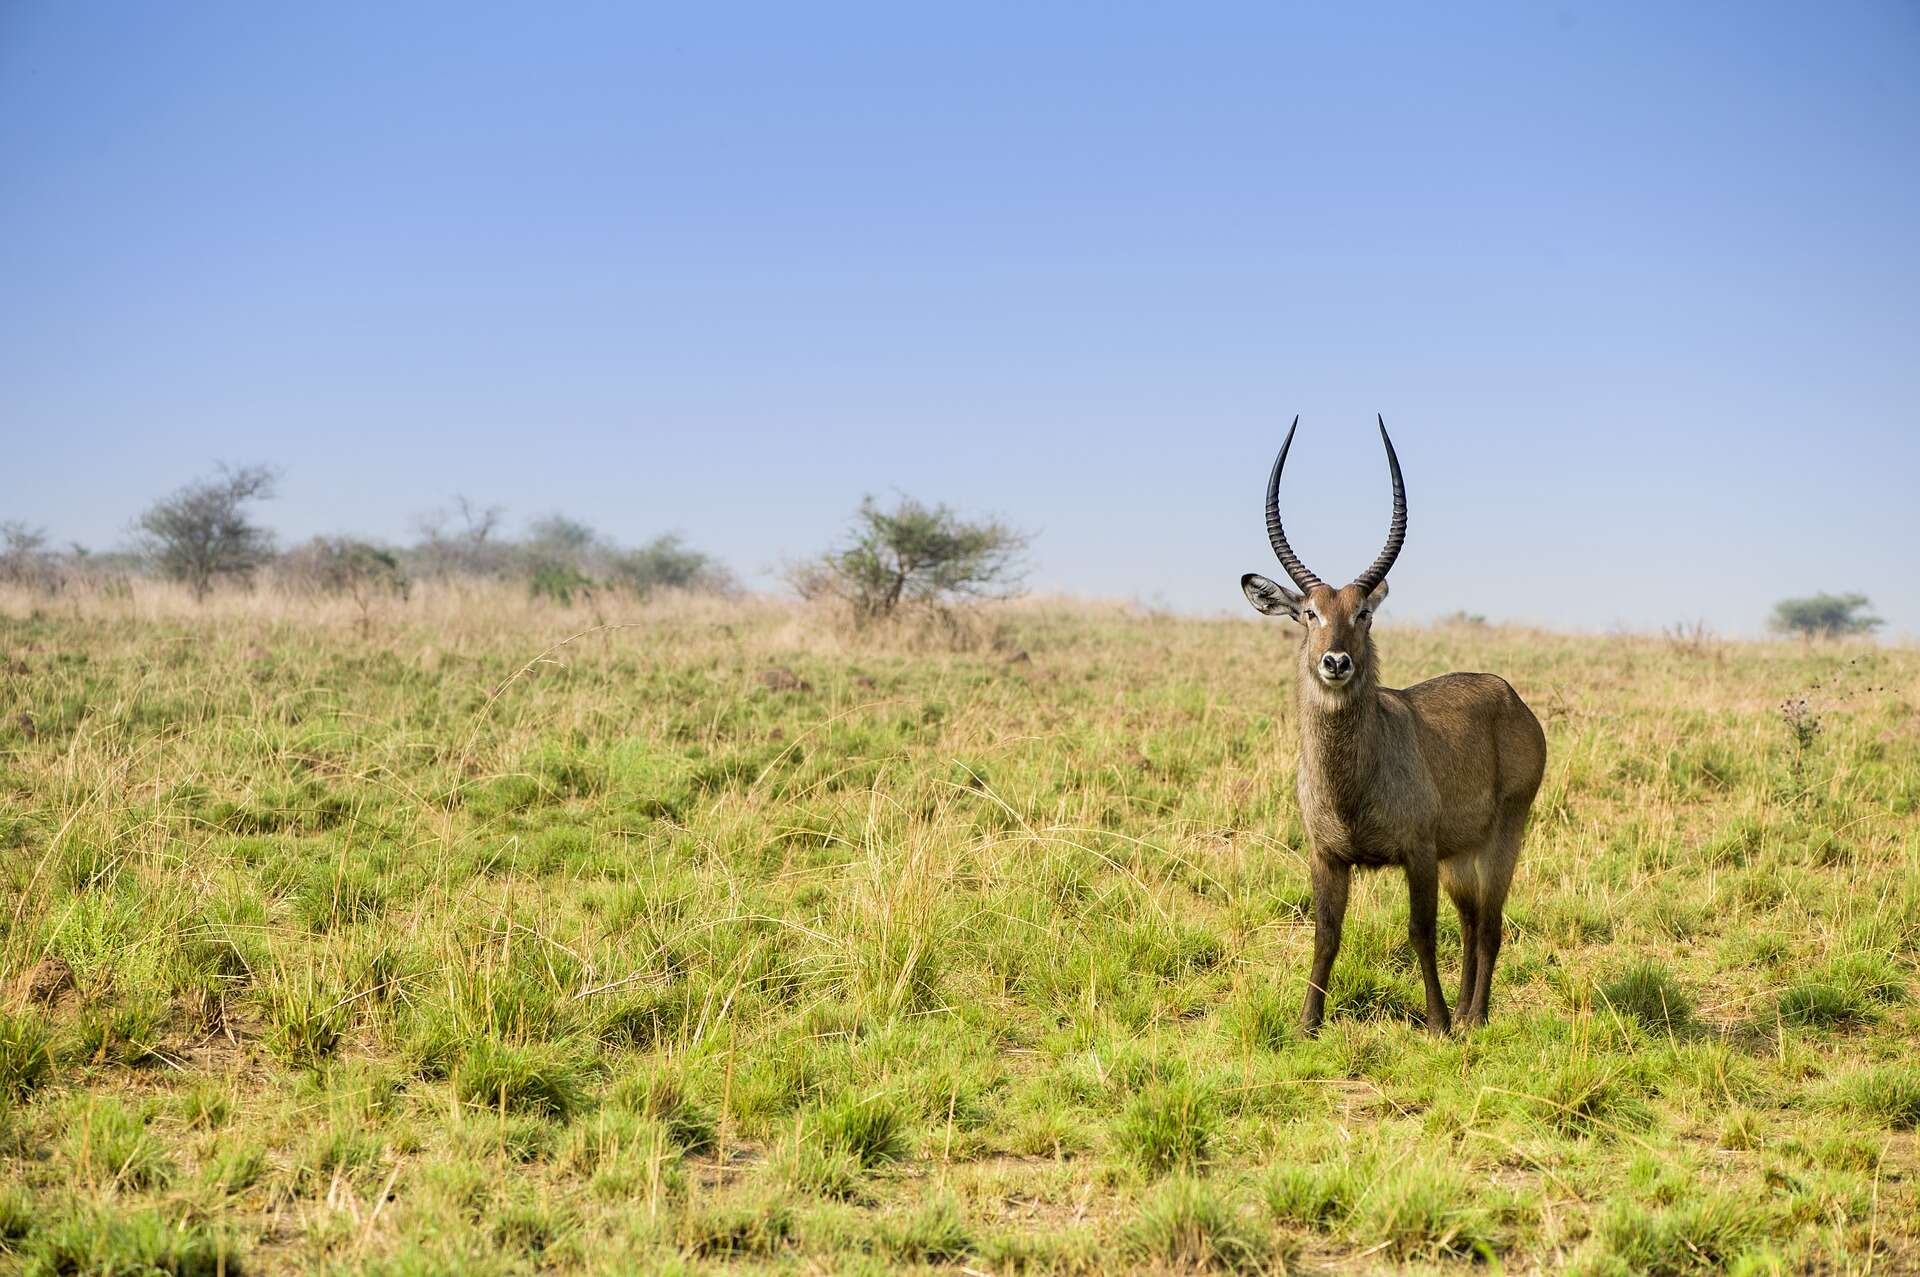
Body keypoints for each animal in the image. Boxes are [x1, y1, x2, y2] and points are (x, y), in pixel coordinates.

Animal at [1244, 412, 1543, 1029]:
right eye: (1309, 613)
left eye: (1363, 613)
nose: (1336, 662)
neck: (1352, 784)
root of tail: (1509, 696)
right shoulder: (1327, 856)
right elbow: (1325, 935)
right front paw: (1308, 1023)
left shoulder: (1418, 853)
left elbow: (1421, 933)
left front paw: (1436, 1023)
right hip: (1461, 854)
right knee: (1472, 921)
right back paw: (1466, 1012)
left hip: (1503, 833)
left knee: (1490, 924)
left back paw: (1473, 1018)